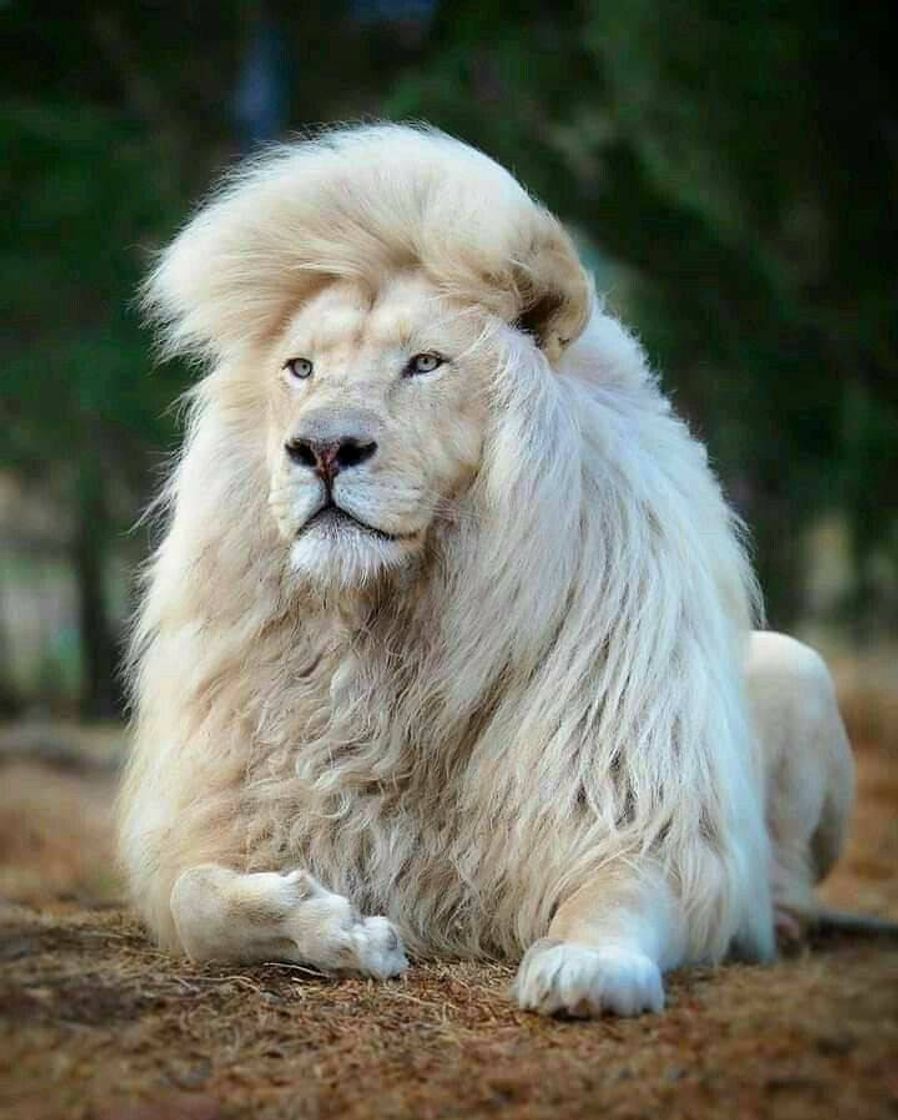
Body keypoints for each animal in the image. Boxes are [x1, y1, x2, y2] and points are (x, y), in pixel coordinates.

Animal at [120, 123, 854, 1017]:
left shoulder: (642, 814)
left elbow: (620, 892)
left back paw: (779, 924)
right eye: (301, 369)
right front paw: (336, 931)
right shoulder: (233, 812)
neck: (398, 636)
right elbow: (194, 901)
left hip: (798, 666)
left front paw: (585, 969)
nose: (322, 448)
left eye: (426, 364)